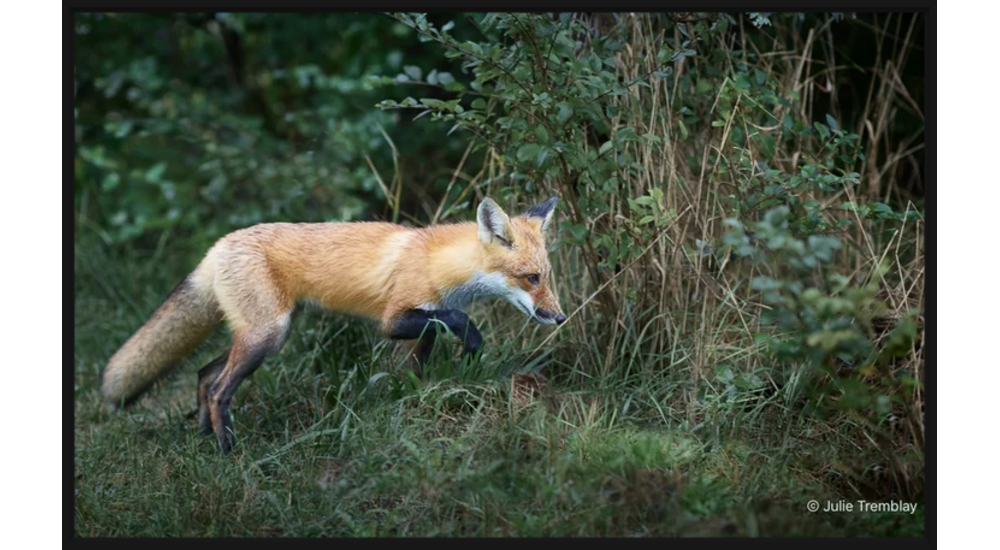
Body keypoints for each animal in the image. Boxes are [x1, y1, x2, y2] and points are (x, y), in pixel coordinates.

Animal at [101, 196, 565, 453]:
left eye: (547, 275)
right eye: (531, 278)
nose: (559, 317)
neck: (440, 264)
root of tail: (218, 245)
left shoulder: (421, 320)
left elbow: (424, 353)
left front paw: (417, 398)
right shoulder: (393, 318)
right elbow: (451, 320)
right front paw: (471, 340)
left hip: (263, 333)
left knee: (202, 374)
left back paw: (204, 439)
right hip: (268, 335)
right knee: (218, 389)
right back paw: (228, 449)